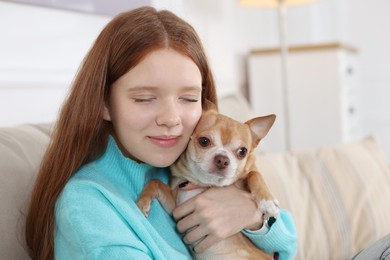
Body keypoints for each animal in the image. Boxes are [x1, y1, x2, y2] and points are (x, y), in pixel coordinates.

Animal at [137, 100, 278, 258]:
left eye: (243, 151)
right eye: (204, 141)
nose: (222, 159)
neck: (205, 183)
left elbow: (254, 174)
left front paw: (267, 202)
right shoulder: (175, 206)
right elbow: (155, 182)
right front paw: (143, 201)